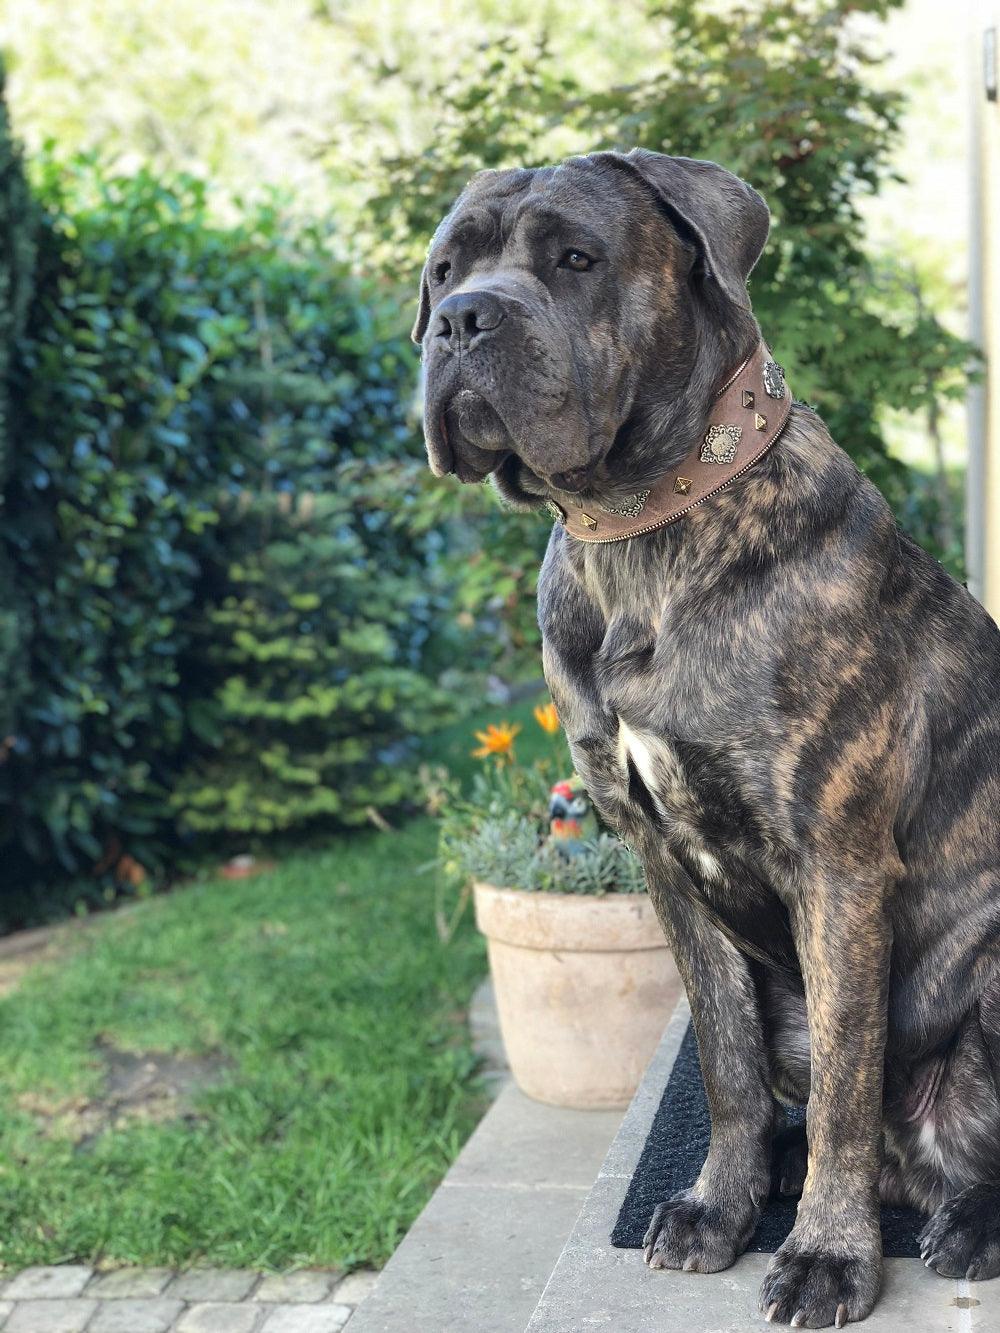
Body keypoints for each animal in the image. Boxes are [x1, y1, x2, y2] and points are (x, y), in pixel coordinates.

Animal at [410, 145, 1000, 1322]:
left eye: (576, 258)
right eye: (444, 269)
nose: (459, 320)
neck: (641, 532)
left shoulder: (837, 867)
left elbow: (846, 1091)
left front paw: (827, 1257)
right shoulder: (665, 862)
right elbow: (726, 1062)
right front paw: (721, 1208)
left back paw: (967, 1223)